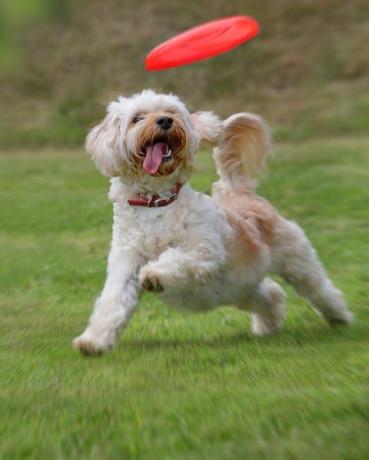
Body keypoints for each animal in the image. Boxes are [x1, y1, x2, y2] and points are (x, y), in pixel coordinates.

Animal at [72, 90, 354, 356]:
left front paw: (154, 274)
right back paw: (267, 327)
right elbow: (112, 304)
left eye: (171, 111)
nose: (164, 121)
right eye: (137, 118)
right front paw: (93, 342)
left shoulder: (203, 251)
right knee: (272, 293)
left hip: (296, 260)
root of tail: (239, 192)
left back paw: (340, 317)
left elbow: (174, 259)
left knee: (320, 289)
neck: (157, 204)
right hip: (241, 288)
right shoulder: (125, 267)